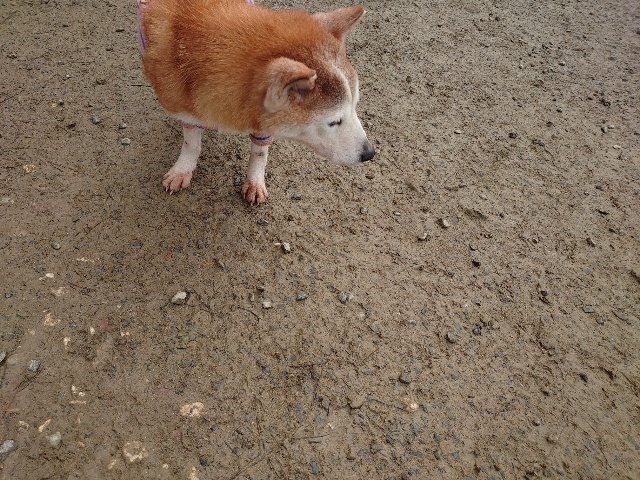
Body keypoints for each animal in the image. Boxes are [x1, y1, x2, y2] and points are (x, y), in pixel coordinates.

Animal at [138, 0, 375, 204]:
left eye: (355, 106)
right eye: (334, 122)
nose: (370, 153)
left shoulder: (262, 120)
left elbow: (260, 152)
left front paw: (254, 182)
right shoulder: (182, 106)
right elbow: (191, 144)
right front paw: (182, 170)